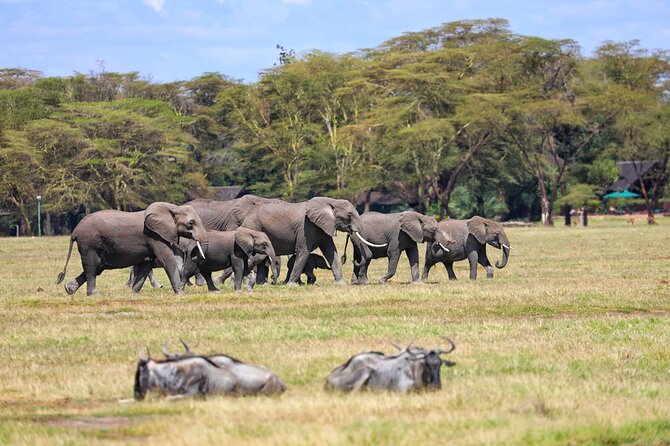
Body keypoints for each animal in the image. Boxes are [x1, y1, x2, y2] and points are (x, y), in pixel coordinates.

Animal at [56, 202, 207, 296]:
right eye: (191, 223)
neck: (173, 207)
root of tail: (75, 231)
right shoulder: (154, 235)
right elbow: (167, 260)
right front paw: (181, 294)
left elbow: (147, 264)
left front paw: (134, 294)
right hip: (89, 243)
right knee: (92, 267)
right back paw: (94, 295)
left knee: (97, 267)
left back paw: (69, 289)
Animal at [240, 196, 383, 285]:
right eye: (349, 215)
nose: (353, 260)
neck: (330, 201)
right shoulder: (306, 228)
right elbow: (304, 251)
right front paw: (292, 286)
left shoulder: (323, 227)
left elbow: (331, 251)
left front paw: (340, 284)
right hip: (254, 228)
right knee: (257, 257)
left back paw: (261, 284)